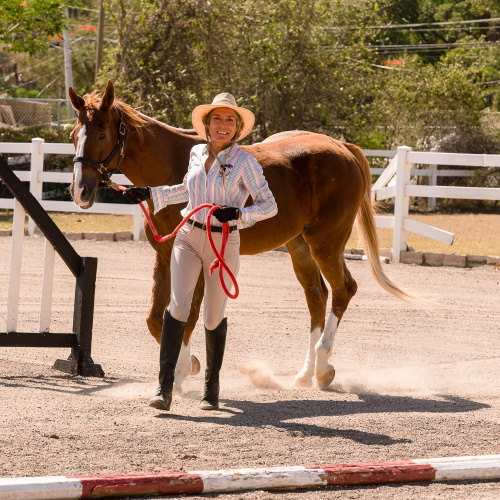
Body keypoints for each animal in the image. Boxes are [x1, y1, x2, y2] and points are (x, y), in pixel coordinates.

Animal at [68, 82, 416, 392]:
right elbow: (158, 318)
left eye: (102, 134)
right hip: (300, 247)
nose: (80, 191)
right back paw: (305, 374)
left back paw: (323, 369)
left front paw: (181, 373)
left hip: (326, 244)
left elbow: (188, 315)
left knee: (344, 290)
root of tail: (343, 149)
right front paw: (190, 364)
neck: (173, 166)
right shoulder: (166, 253)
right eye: (73, 136)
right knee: (317, 298)